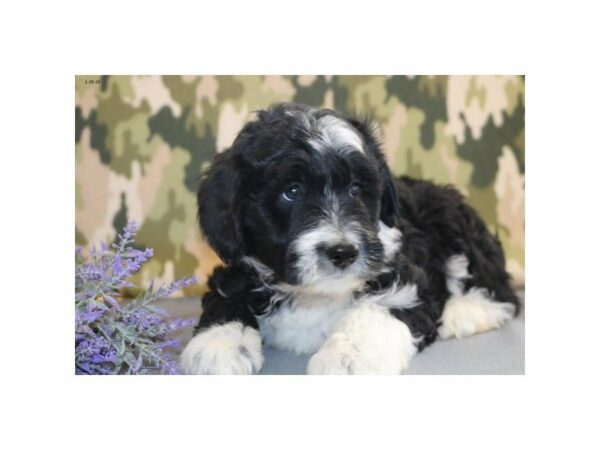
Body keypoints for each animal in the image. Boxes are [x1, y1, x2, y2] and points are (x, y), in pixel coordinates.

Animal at [179, 103, 520, 374]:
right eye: (292, 192)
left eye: (356, 189)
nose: (342, 251)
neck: (315, 294)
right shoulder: (235, 272)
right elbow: (226, 300)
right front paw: (218, 344)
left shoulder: (408, 284)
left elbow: (377, 311)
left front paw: (348, 357)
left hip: (454, 221)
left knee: (499, 288)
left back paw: (464, 312)